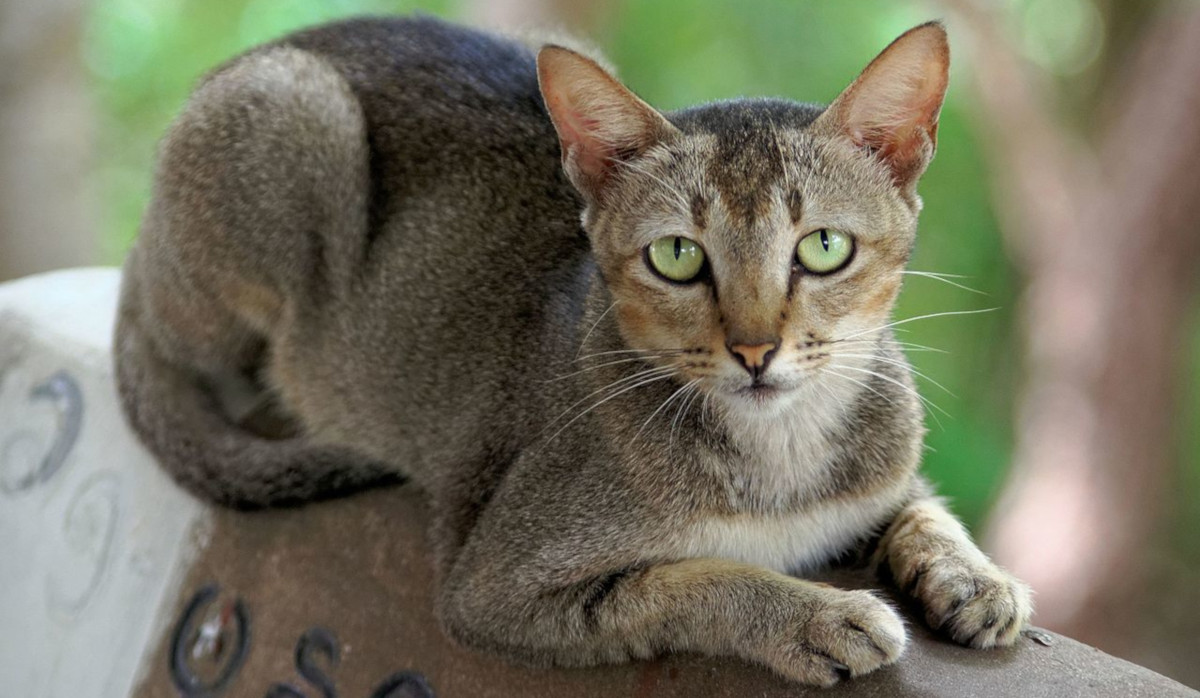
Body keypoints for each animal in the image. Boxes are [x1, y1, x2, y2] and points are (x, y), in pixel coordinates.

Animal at [114, 15, 1032, 690]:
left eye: (825, 247)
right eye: (677, 256)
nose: (755, 350)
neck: (780, 456)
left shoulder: (884, 473)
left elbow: (920, 504)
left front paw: (974, 578)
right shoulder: (493, 588)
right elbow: (691, 581)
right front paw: (816, 617)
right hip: (296, 117)